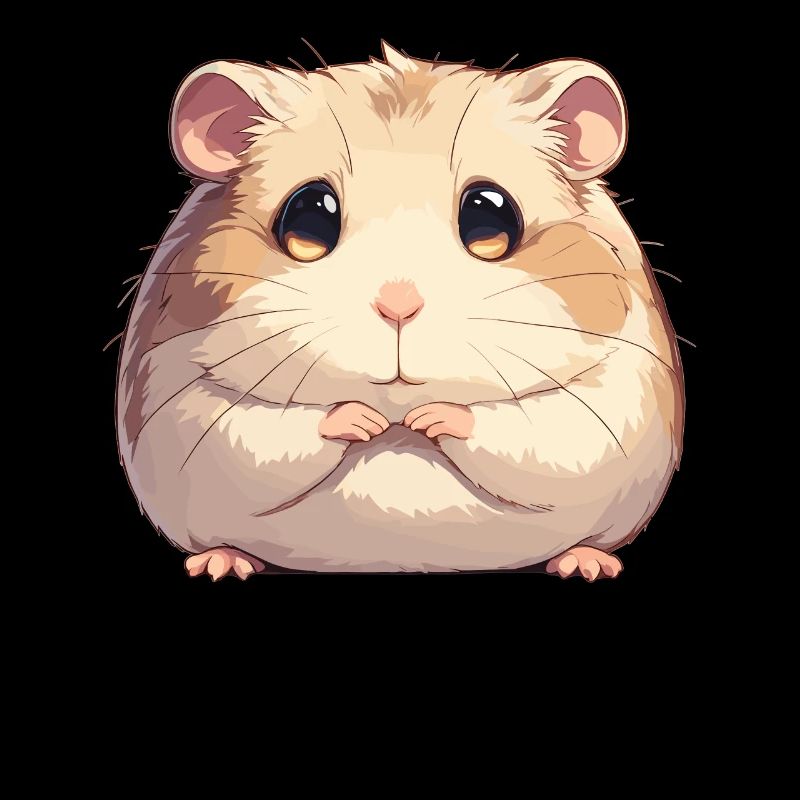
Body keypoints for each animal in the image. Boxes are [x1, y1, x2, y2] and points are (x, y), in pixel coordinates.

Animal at [116, 43, 684, 580]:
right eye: (307, 217)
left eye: (491, 216)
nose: (398, 306)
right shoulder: (182, 403)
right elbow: (257, 428)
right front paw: (361, 419)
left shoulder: (612, 401)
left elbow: (542, 431)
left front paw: (429, 418)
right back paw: (219, 564)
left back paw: (586, 564)